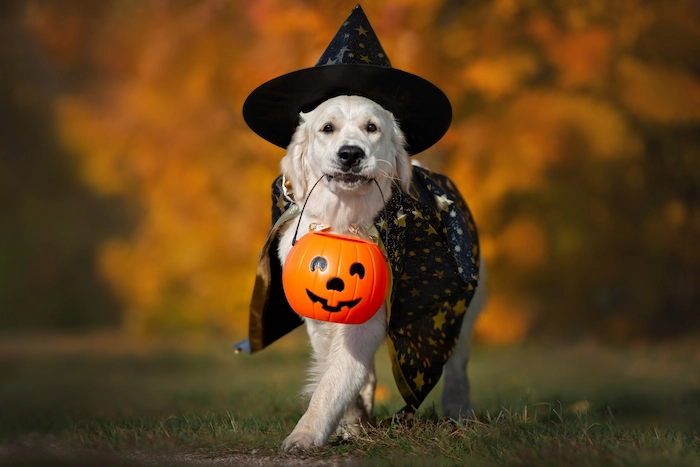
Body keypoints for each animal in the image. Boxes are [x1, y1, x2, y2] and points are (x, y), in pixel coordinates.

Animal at [274, 96, 486, 454]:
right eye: (327, 128)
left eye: (371, 128)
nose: (350, 154)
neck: (345, 223)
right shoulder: (321, 323)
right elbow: (338, 374)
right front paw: (350, 425)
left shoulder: (365, 321)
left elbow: (332, 383)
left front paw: (305, 434)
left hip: (461, 310)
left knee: (457, 365)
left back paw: (459, 413)